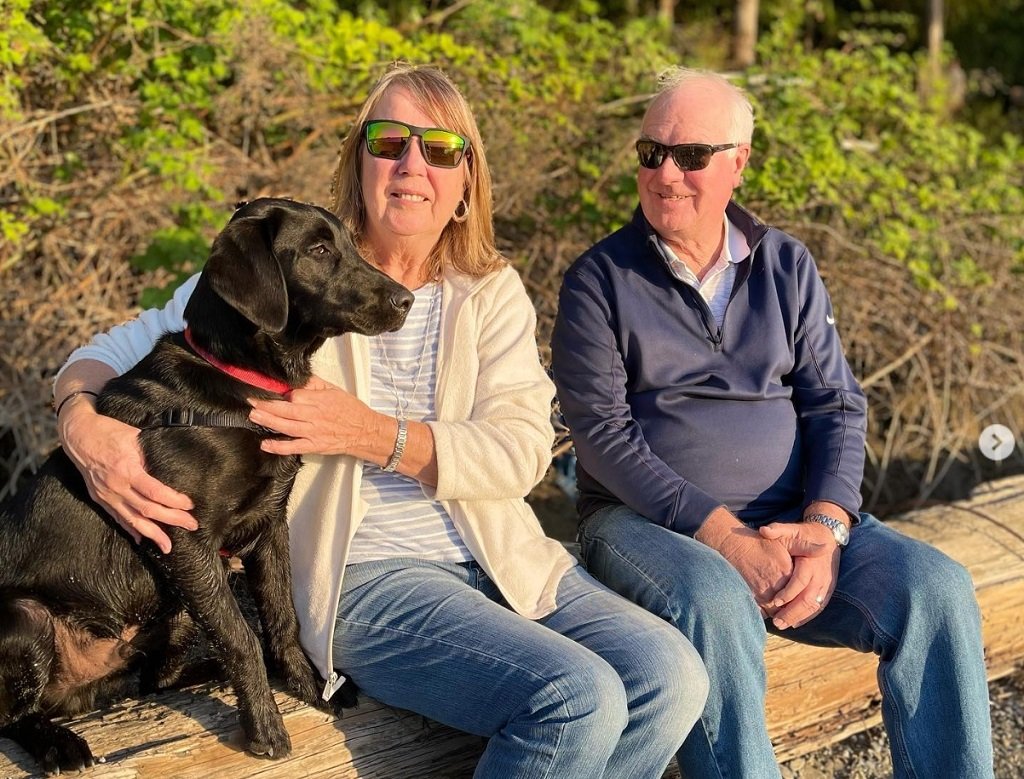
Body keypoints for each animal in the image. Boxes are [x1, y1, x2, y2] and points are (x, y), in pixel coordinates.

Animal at [0, 198, 411, 773]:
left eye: (350, 245)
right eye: (318, 250)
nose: (407, 300)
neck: (242, 382)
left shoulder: (268, 530)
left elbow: (281, 620)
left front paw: (308, 685)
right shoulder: (184, 540)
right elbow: (241, 636)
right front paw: (264, 726)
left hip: (174, 611)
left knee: (158, 676)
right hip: (26, 617)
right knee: (14, 715)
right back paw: (59, 743)